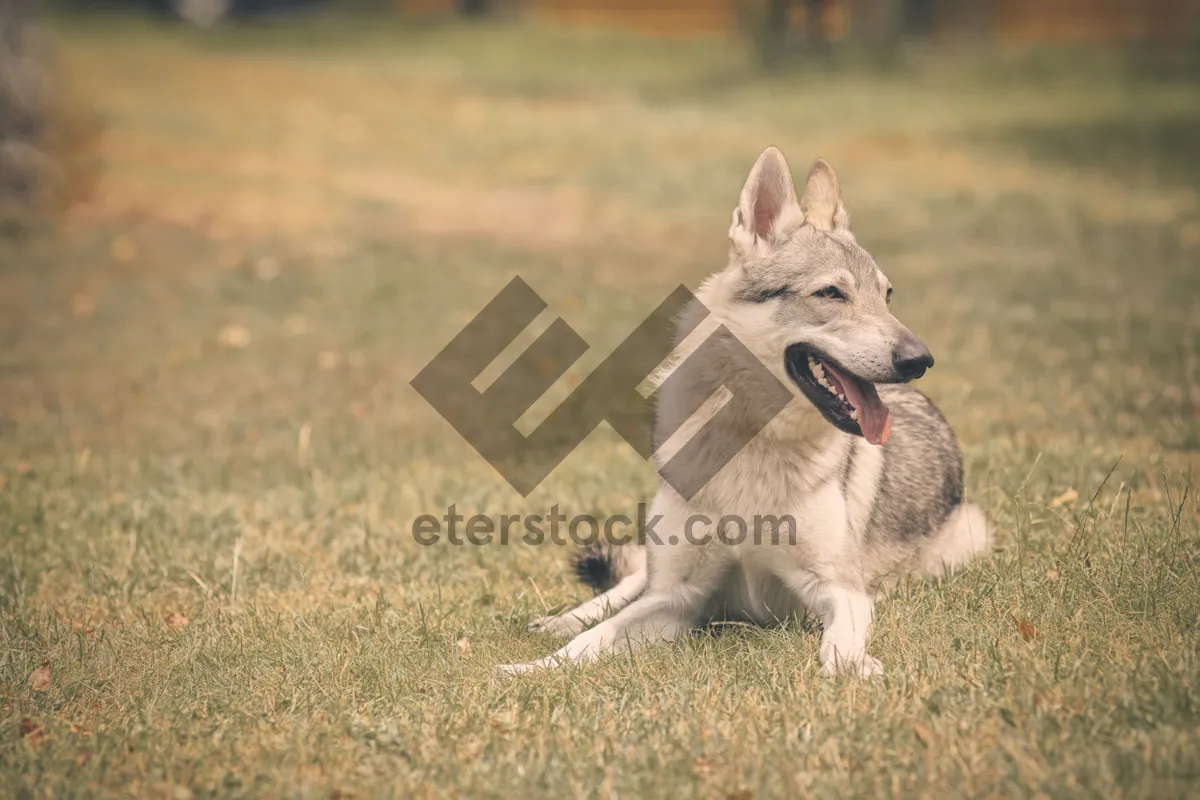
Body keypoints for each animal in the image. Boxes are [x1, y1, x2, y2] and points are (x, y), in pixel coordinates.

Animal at [499, 146, 993, 681]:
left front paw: (852, 669)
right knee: (624, 585)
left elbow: (838, 646)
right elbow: (592, 639)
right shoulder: (677, 597)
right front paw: (528, 670)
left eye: (886, 296)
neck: (754, 444)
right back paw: (556, 621)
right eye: (831, 293)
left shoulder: (840, 590)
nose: (919, 359)